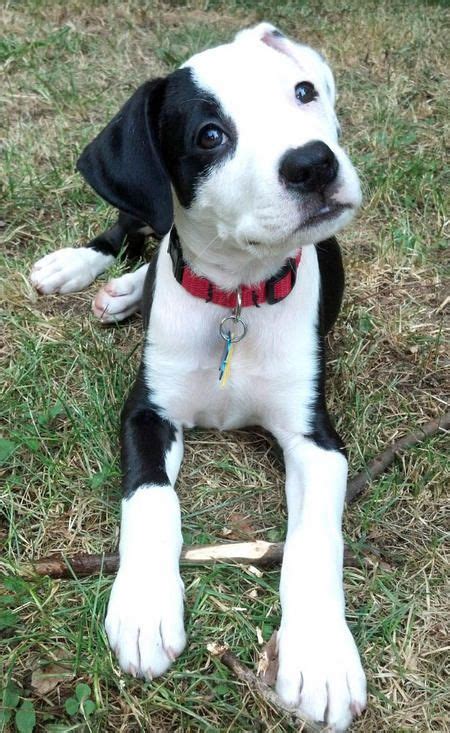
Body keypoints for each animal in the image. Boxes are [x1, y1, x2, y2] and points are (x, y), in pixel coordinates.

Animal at [32, 24, 370, 732]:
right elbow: (151, 499)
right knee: (138, 225)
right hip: (143, 209)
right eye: (210, 135)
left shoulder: (317, 440)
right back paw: (83, 270)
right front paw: (144, 608)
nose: (314, 164)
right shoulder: (146, 413)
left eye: (303, 92)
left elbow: (314, 541)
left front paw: (321, 657)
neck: (234, 299)